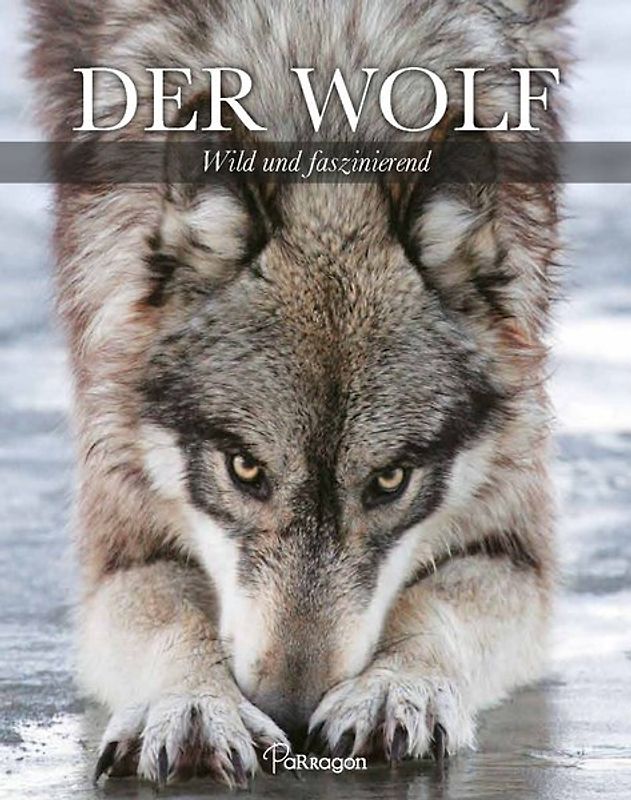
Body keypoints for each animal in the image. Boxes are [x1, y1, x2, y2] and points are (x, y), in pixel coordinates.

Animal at [28, 0, 571, 787]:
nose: (288, 711)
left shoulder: (512, 538)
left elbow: (435, 608)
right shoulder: (120, 533)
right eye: (245, 469)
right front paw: (194, 703)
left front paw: (396, 688)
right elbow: (174, 616)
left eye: (389, 480)